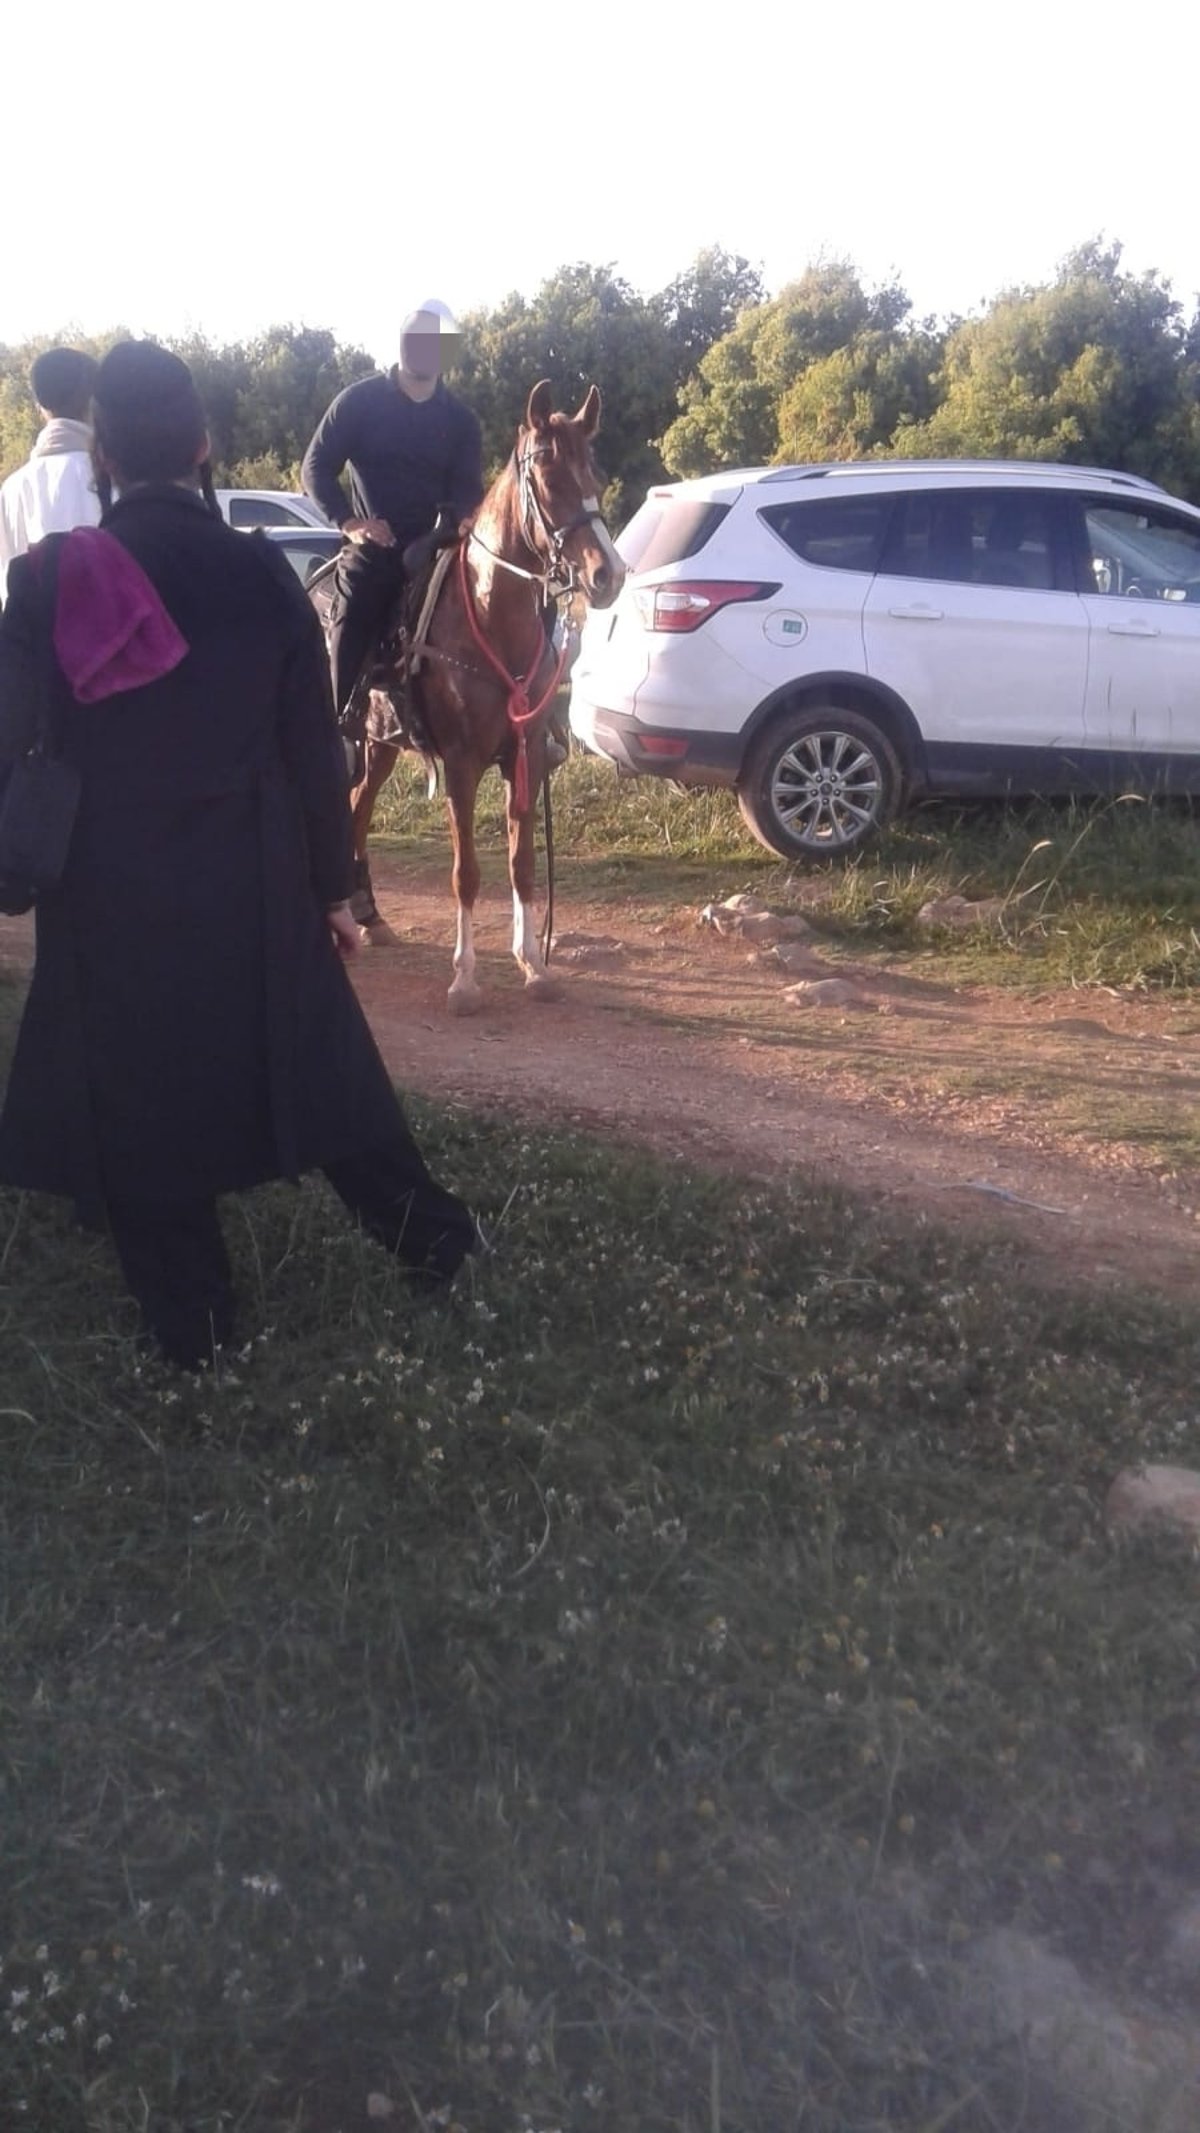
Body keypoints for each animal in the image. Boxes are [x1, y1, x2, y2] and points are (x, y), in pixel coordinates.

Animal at [328, 383, 630, 1015]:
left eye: (593, 472)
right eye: (547, 475)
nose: (608, 574)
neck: (491, 620)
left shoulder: (527, 757)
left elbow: (522, 865)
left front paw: (533, 963)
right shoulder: (462, 765)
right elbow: (466, 873)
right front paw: (465, 979)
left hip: (380, 747)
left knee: (358, 810)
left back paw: (369, 915)